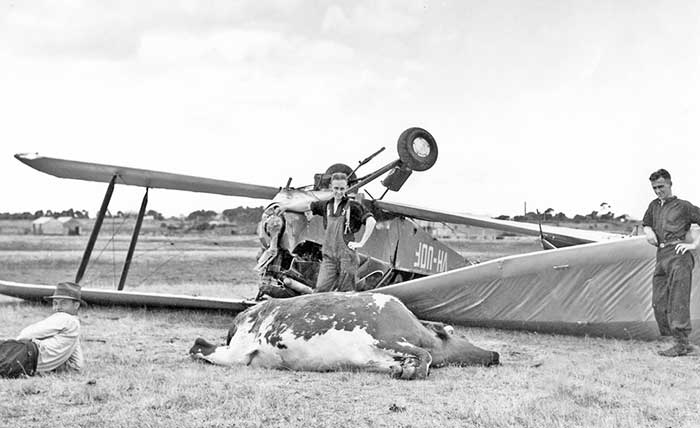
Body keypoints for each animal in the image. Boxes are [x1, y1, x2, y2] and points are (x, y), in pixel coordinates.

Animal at [189, 292, 499, 379]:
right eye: (451, 333)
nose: (495, 354)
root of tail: (243, 314)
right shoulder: (385, 338)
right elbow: (426, 356)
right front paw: (414, 368)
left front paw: (404, 369)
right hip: (235, 353)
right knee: (198, 345)